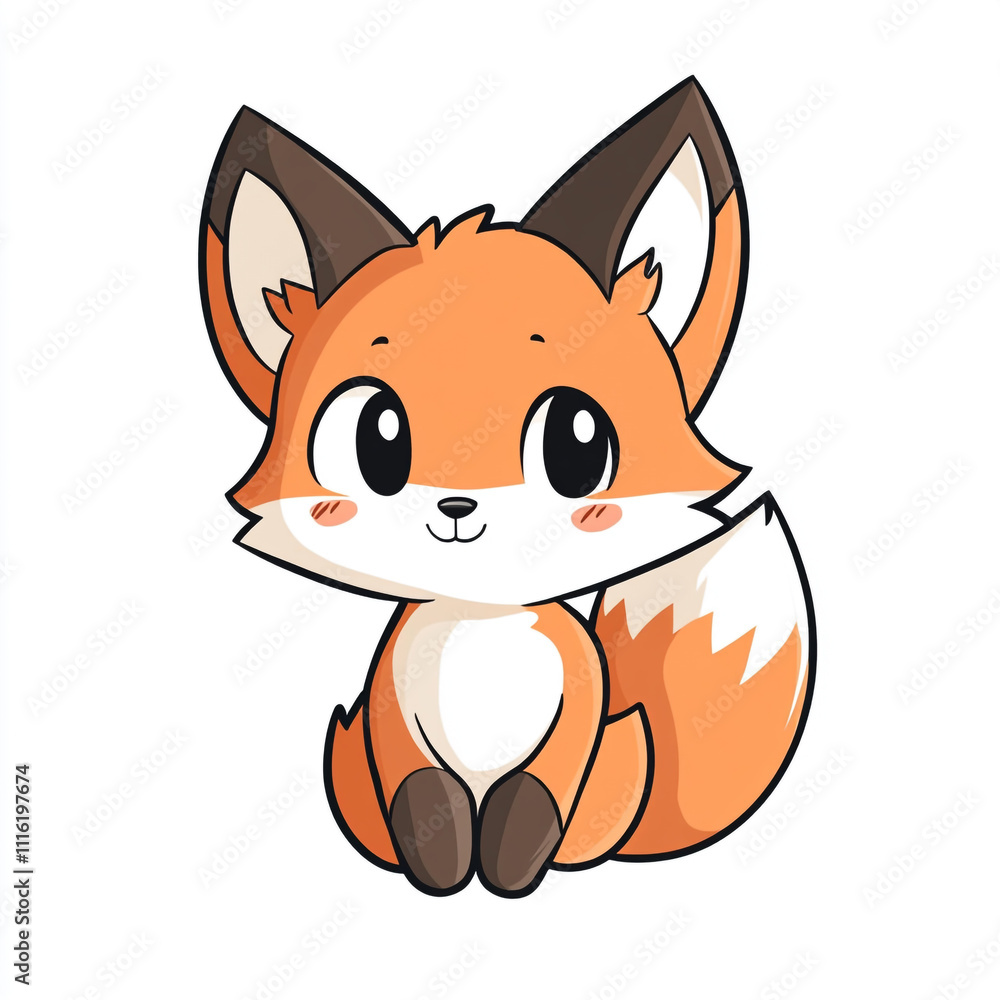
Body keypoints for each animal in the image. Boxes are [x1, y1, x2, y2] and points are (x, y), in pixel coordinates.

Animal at [199, 77, 815, 898]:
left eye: (576, 442)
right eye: (376, 437)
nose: (459, 508)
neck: (479, 624)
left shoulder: (579, 706)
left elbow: (535, 796)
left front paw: (508, 869)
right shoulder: (392, 711)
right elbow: (423, 796)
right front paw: (443, 869)